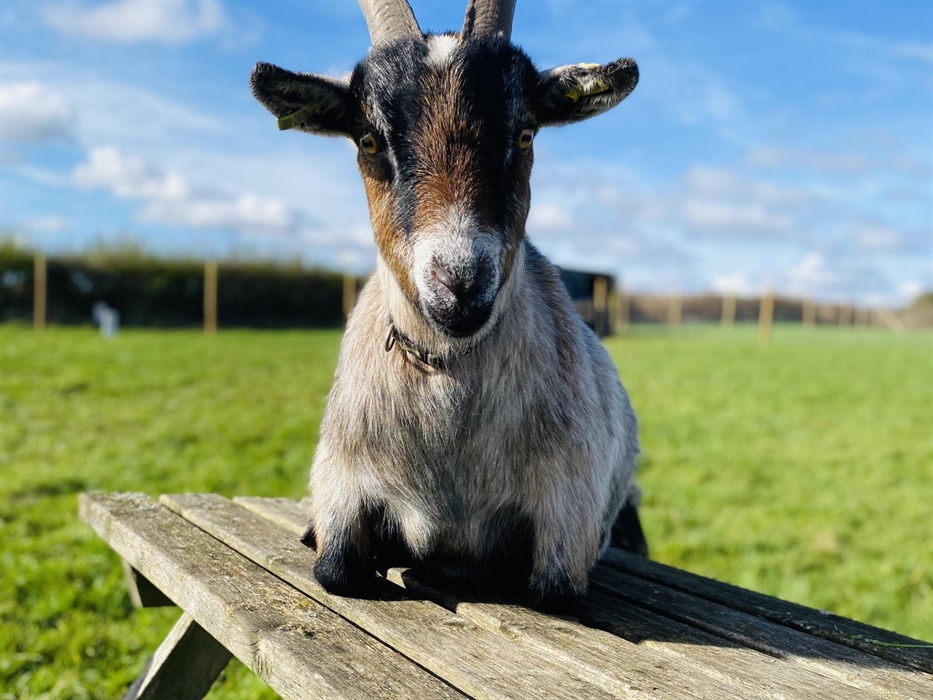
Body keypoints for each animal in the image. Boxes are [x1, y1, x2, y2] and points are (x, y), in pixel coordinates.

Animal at [251, 0, 645, 611]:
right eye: (368, 139)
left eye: (525, 133)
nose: (459, 284)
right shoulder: (343, 479)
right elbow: (335, 570)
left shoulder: (568, 517)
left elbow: (552, 591)